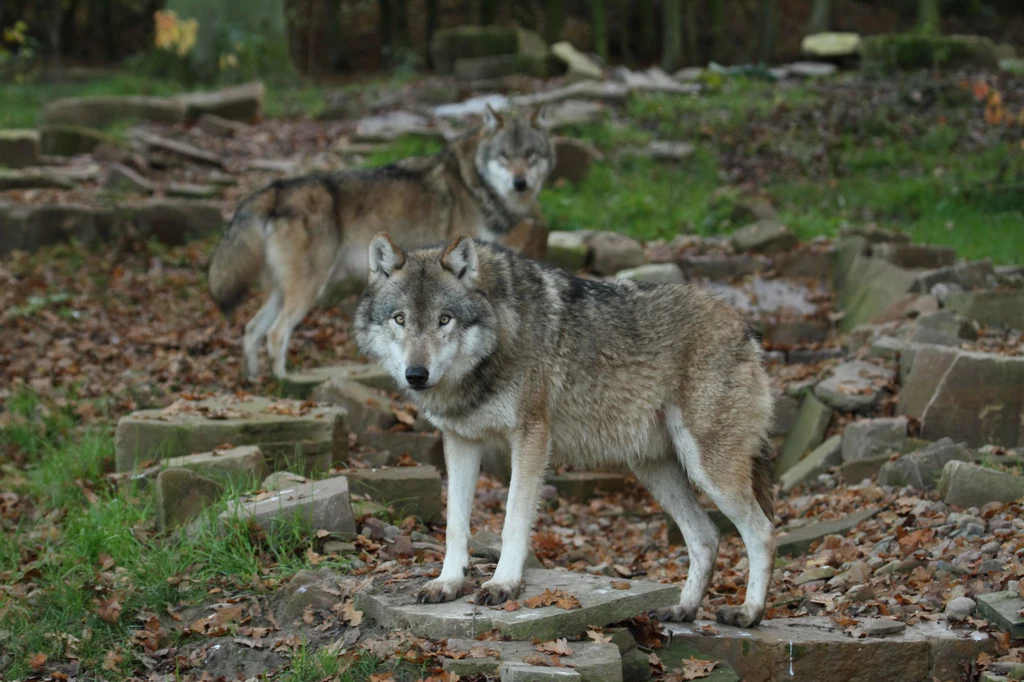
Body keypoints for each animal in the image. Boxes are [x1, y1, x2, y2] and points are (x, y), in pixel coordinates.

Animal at [205, 109, 552, 378]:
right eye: (504, 156)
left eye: (530, 154)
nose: (520, 183)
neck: (473, 181)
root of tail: (275, 188)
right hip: (308, 290)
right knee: (276, 334)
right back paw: (284, 384)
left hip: (284, 291)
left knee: (251, 330)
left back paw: (252, 379)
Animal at [352, 231, 774, 622]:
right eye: (400, 319)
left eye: (444, 319)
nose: (416, 374)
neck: (502, 333)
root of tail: (746, 330)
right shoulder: (460, 440)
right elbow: (456, 523)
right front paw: (449, 582)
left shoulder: (532, 436)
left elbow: (513, 519)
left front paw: (504, 583)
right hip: (655, 470)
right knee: (706, 537)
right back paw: (682, 609)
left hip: (709, 471)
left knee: (763, 532)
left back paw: (749, 612)